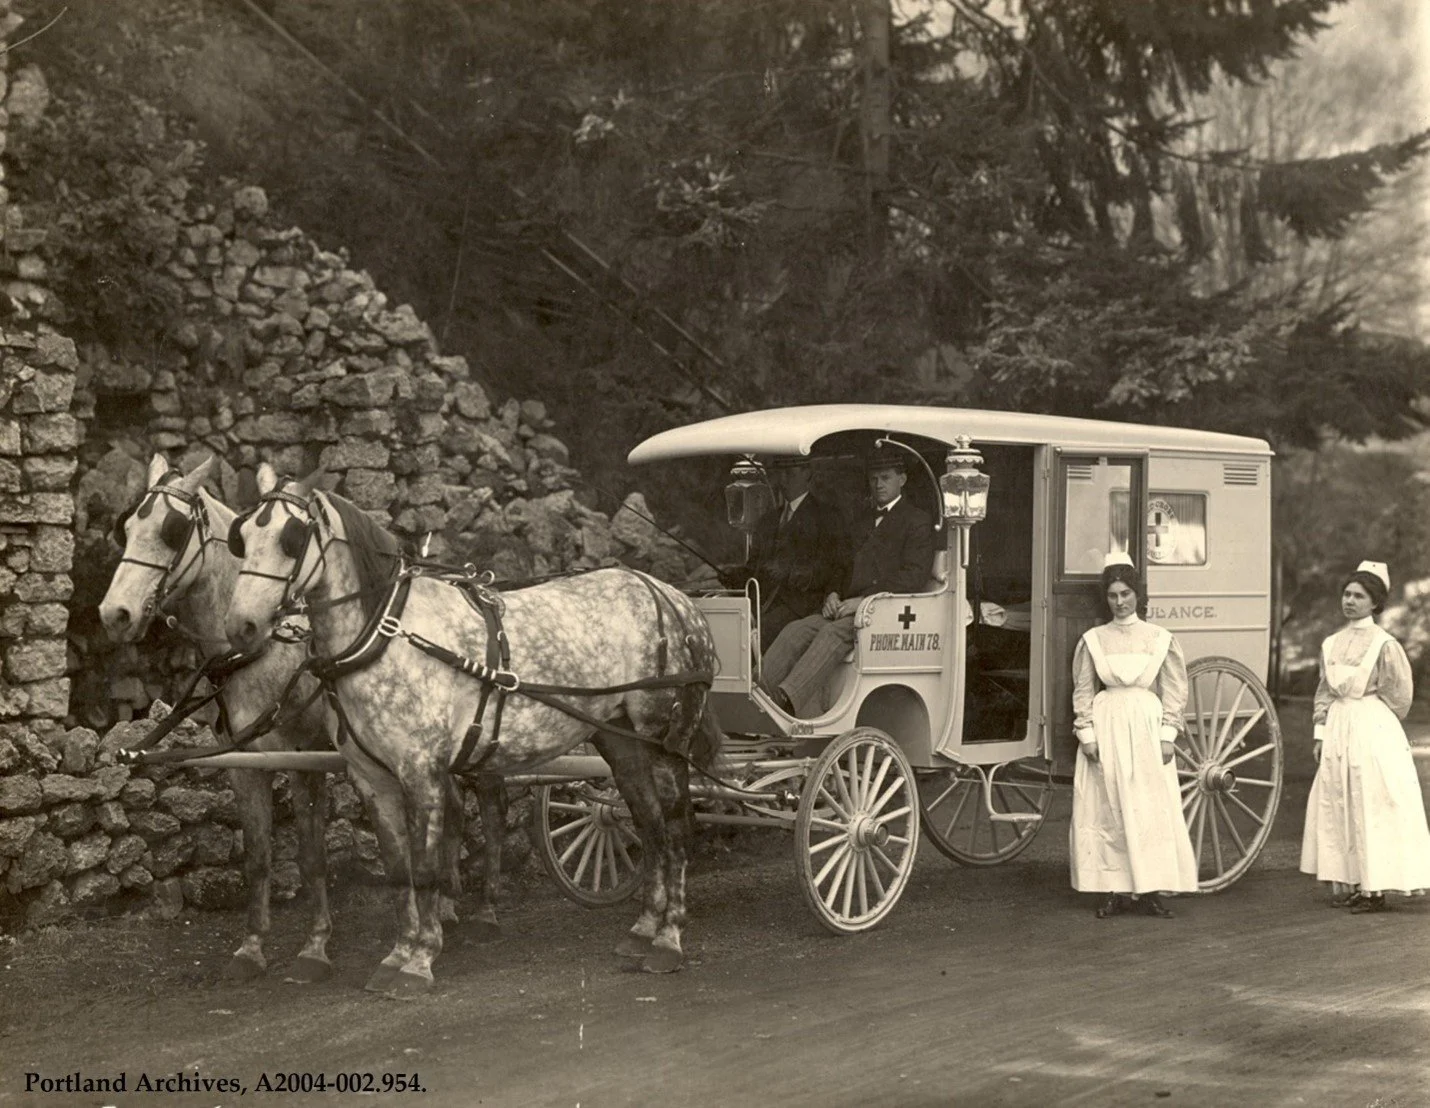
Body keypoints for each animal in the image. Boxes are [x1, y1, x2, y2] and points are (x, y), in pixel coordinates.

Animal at [98, 455, 507, 982]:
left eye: (173, 530)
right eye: (127, 528)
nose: (115, 614)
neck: (266, 650)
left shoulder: (304, 759)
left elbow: (312, 858)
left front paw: (315, 948)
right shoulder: (245, 765)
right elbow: (257, 858)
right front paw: (251, 948)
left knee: (491, 804)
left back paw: (487, 909)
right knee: (452, 805)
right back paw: (447, 906)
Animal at [223, 463, 723, 994]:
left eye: (292, 538)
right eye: (242, 537)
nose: (241, 628)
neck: (385, 636)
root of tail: (673, 597)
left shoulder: (421, 771)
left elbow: (425, 868)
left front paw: (421, 958)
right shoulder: (371, 778)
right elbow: (398, 869)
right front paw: (398, 953)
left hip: (666, 741)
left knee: (676, 830)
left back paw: (669, 939)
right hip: (622, 742)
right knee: (649, 824)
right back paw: (644, 927)